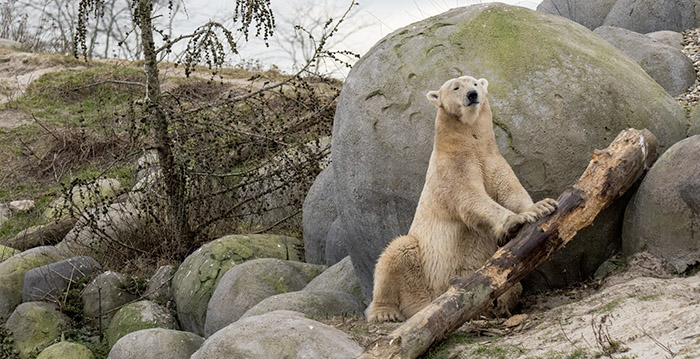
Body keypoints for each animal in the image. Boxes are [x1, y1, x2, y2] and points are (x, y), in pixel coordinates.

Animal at [366, 76, 556, 324]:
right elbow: (471, 198)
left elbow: (509, 189)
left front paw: (541, 206)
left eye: (475, 83)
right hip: (420, 275)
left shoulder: (491, 158)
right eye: (456, 87)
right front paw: (515, 221)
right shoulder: (453, 167)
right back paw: (385, 312)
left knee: (514, 286)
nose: (472, 95)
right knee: (397, 251)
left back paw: (498, 305)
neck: (469, 141)